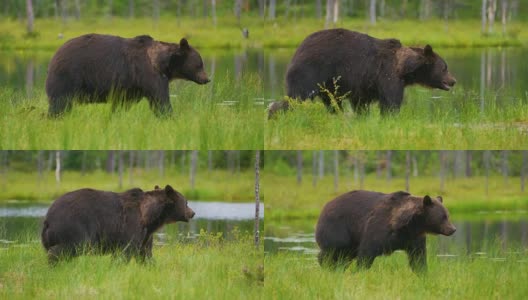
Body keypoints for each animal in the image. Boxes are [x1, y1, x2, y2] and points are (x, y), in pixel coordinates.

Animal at [40, 184, 194, 264]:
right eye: (186, 202)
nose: (192, 213)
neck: (151, 218)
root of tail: (48, 218)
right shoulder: (131, 225)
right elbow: (126, 250)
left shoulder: (146, 234)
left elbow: (145, 252)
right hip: (75, 225)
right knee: (74, 245)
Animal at [45, 33, 209, 116]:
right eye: (200, 64)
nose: (207, 79)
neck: (163, 64)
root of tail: (54, 55)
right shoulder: (149, 75)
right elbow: (160, 100)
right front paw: (170, 116)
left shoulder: (133, 86)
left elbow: (122, 103)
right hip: (68, 76)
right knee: (60, 102)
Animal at [270, 29, 456, 118]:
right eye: (444, 68)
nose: (453, 80)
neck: (404, 68)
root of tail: (298, 48)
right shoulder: (387, 76)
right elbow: (391, 102)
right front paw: (390, 117)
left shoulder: (364, 84)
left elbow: (361, 103)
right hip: (311, 71)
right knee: (296, 96)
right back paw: (273, 113)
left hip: (328, 83)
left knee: (332, 102)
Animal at [316, 191, 456, 274]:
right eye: (443, 216)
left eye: (448, 215)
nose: (453, 229)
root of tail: (325, 206)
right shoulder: (379, 228)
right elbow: (367, 252)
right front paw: (360, 271)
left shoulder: (414, 237)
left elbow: (418, 257)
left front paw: (423, 274)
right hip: (338, 228)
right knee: (333, 250)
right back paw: (327, 266)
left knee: (345, 254)